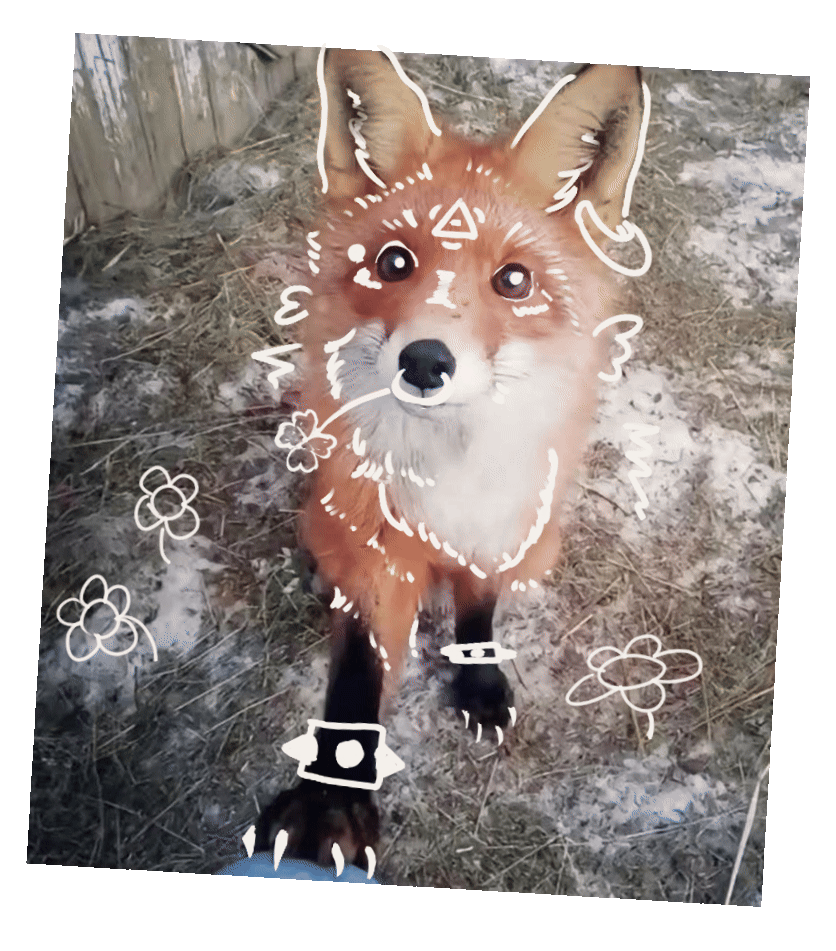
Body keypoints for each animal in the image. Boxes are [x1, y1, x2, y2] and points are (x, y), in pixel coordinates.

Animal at [254, 45, 648, 877]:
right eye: (394, 261)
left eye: (514, 279)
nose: (426, 362)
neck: (444, 466)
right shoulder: (374, 542)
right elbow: (357, 676)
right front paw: (328, 803)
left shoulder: (504, 519)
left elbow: (479, 606)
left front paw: (479, 679)